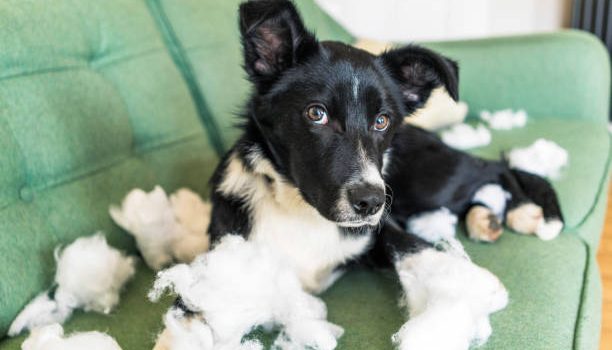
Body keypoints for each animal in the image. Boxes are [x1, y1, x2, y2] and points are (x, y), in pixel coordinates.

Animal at [154, 1, 564, 348]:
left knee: (497, 167)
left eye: (382, 120)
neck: (300, 210)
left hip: (430, 180)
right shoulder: (224, 261)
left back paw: (523, 212)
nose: (370, 202)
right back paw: (486, 218)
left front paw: (465, 283)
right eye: (316, 113)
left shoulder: (380, 226)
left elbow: (410, 247)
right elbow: (187, 315)